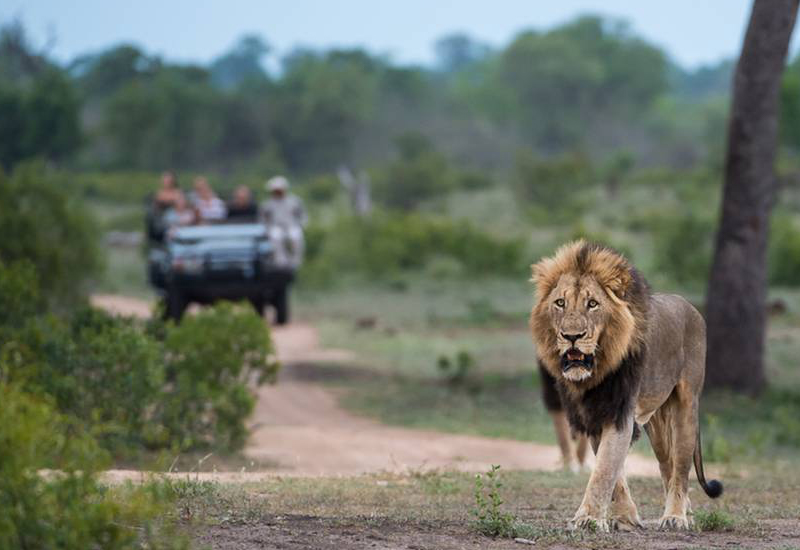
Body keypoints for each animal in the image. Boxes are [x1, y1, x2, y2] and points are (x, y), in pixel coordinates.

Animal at [528, 243, 720, 536]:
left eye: (592, 304)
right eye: (560, 303)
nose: (572, 336)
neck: (596, 372)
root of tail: (691, 307)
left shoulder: (620, 412)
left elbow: (604, 469)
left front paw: (588, 519)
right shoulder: (596, 414)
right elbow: (613, 472)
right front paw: (625, 518)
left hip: (686, 407)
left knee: (681, 467)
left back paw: (675, 517)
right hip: (656, 422)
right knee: (667, 465)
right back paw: (685, 512)